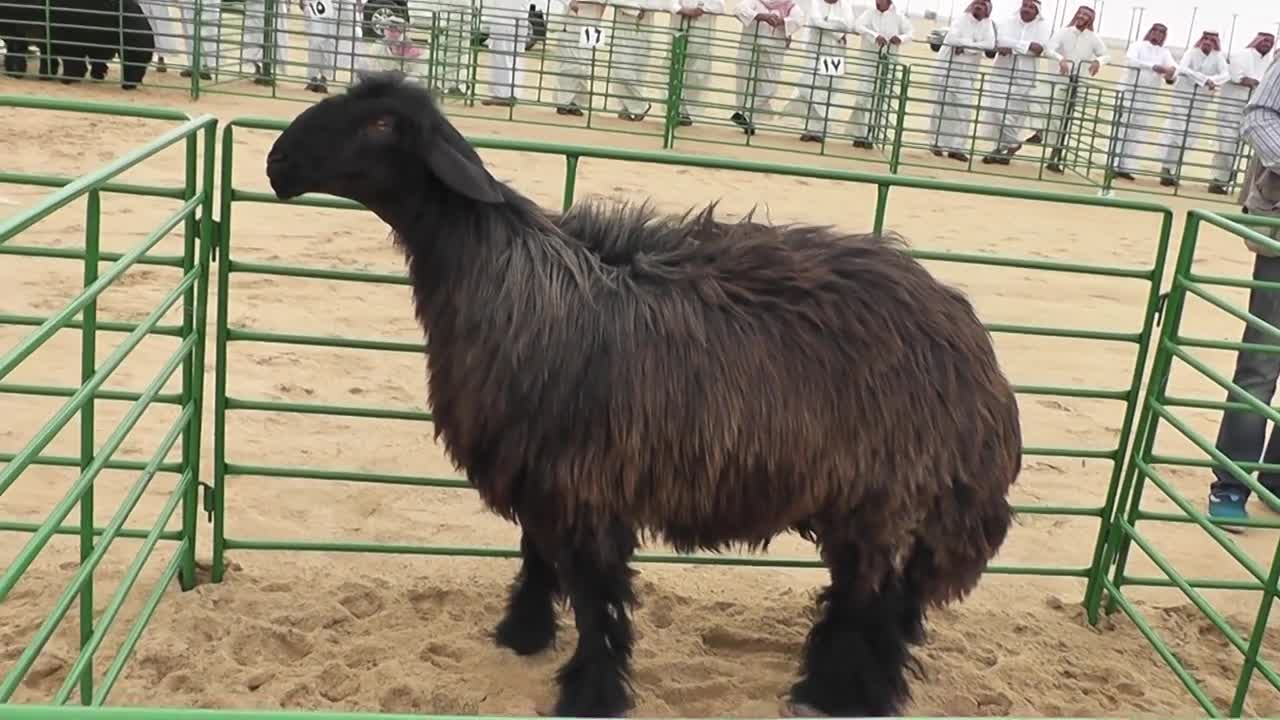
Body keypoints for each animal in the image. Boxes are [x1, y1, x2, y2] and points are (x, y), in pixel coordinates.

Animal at [264, 70, 1024, 712]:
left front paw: (591, 693)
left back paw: (845, 694)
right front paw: (522, 635)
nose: (276, 164)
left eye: (381, 124)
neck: (506, 275)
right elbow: (536, 559)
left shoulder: (584, 483)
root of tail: (976, 352)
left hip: (893, 493)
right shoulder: (542, 474)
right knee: (869, 598)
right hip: (863, 500)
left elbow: (597, 600)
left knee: (875, 601)